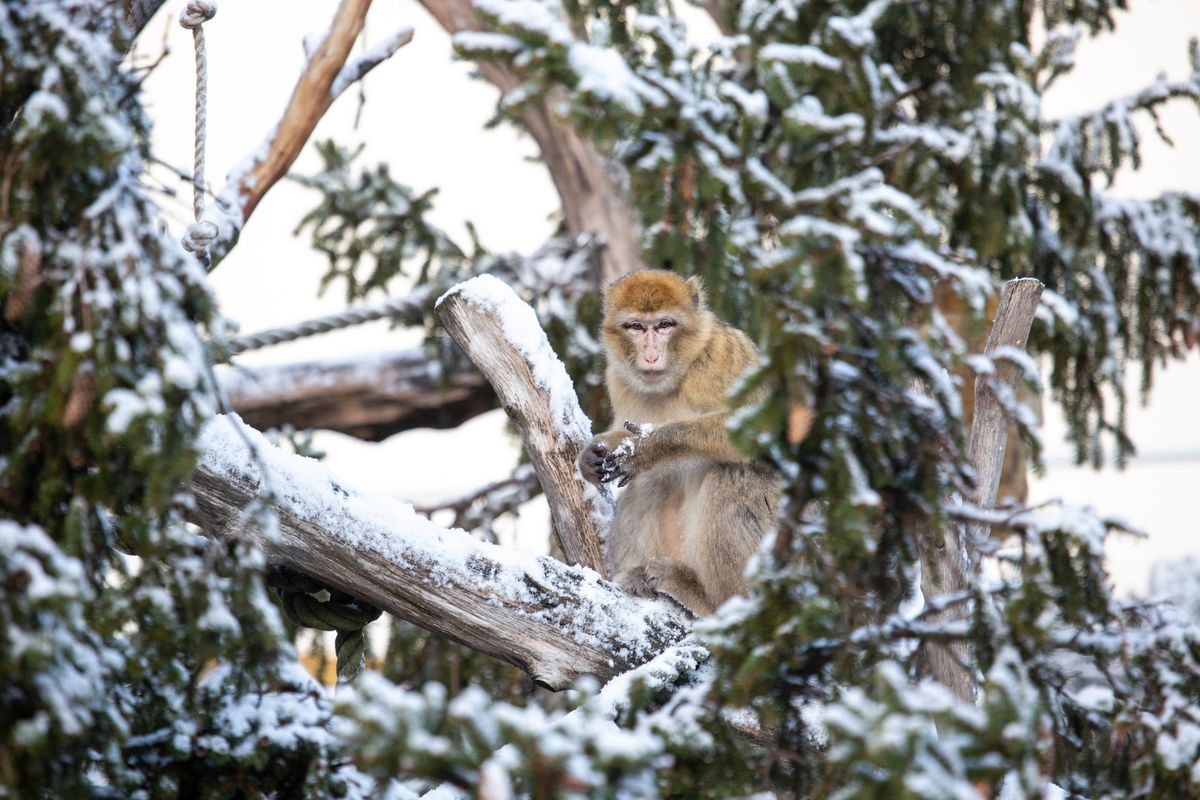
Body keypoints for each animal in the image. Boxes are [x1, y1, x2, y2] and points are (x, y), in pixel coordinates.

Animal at [578, 272, 787, 618]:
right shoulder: (619, 379)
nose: (650, 355)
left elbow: (766, 427)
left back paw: (714, 602)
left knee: (731, 475)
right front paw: (596, 452)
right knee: (650, 484)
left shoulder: (722, 358)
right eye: (636, 327)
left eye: (665, 325)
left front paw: (650, 447)